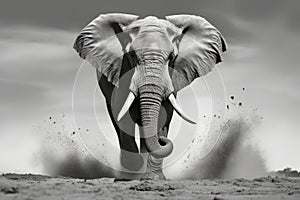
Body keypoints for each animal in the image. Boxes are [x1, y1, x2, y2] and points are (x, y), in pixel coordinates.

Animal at [73, 13, 227, 180]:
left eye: (171, 57)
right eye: (132, 55)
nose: (163, 141)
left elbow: (163, 117)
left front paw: (153, 178)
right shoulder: (122, 72)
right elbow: (124, 119)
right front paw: (131, 175)